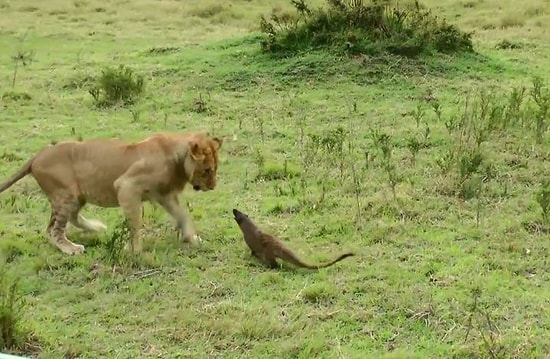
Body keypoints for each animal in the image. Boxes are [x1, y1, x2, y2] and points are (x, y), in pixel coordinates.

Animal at [0, 132, 224, 256]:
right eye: (207, 170)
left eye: (214, 168)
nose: (214, 186)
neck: (176, 157)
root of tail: (37, 156)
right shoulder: (126, 187)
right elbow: (135, 224)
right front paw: (134, 251)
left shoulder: (165, 194)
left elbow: (182, 215)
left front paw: (193, 238)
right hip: (66, 194)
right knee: (54, 230)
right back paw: (72, 248)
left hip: (75, 196)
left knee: (63, 222)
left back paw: (97, 227)